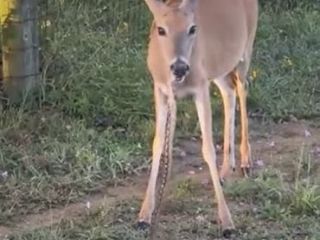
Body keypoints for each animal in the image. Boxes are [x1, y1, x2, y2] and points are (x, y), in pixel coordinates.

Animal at [139, 0, 258, 236]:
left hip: (246, 48)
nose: (180, 67)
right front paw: (145, 214)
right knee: (229, 92)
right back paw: (226, 169)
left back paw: (245, 161)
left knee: (242, 89)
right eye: (161, 30)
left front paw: (227, 222)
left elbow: (208, 148)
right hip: (219, 68)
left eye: (192, 28)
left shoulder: (200, 86)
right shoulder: (161, 88)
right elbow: (158, 143)